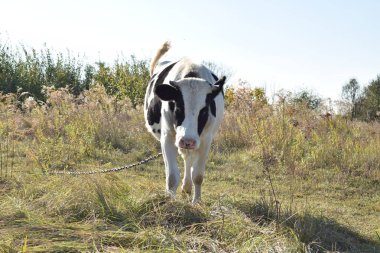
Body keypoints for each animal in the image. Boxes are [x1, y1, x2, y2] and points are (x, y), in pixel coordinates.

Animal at [144, 42, 224, 204]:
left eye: (204, 111)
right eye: (178, 107)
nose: (188, 141)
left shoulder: (205, 140)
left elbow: (198, 175)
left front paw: (196, 202)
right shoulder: (167, 137)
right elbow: (171, 176)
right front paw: (170, 200)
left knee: (188, 159)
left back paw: (187, 187)